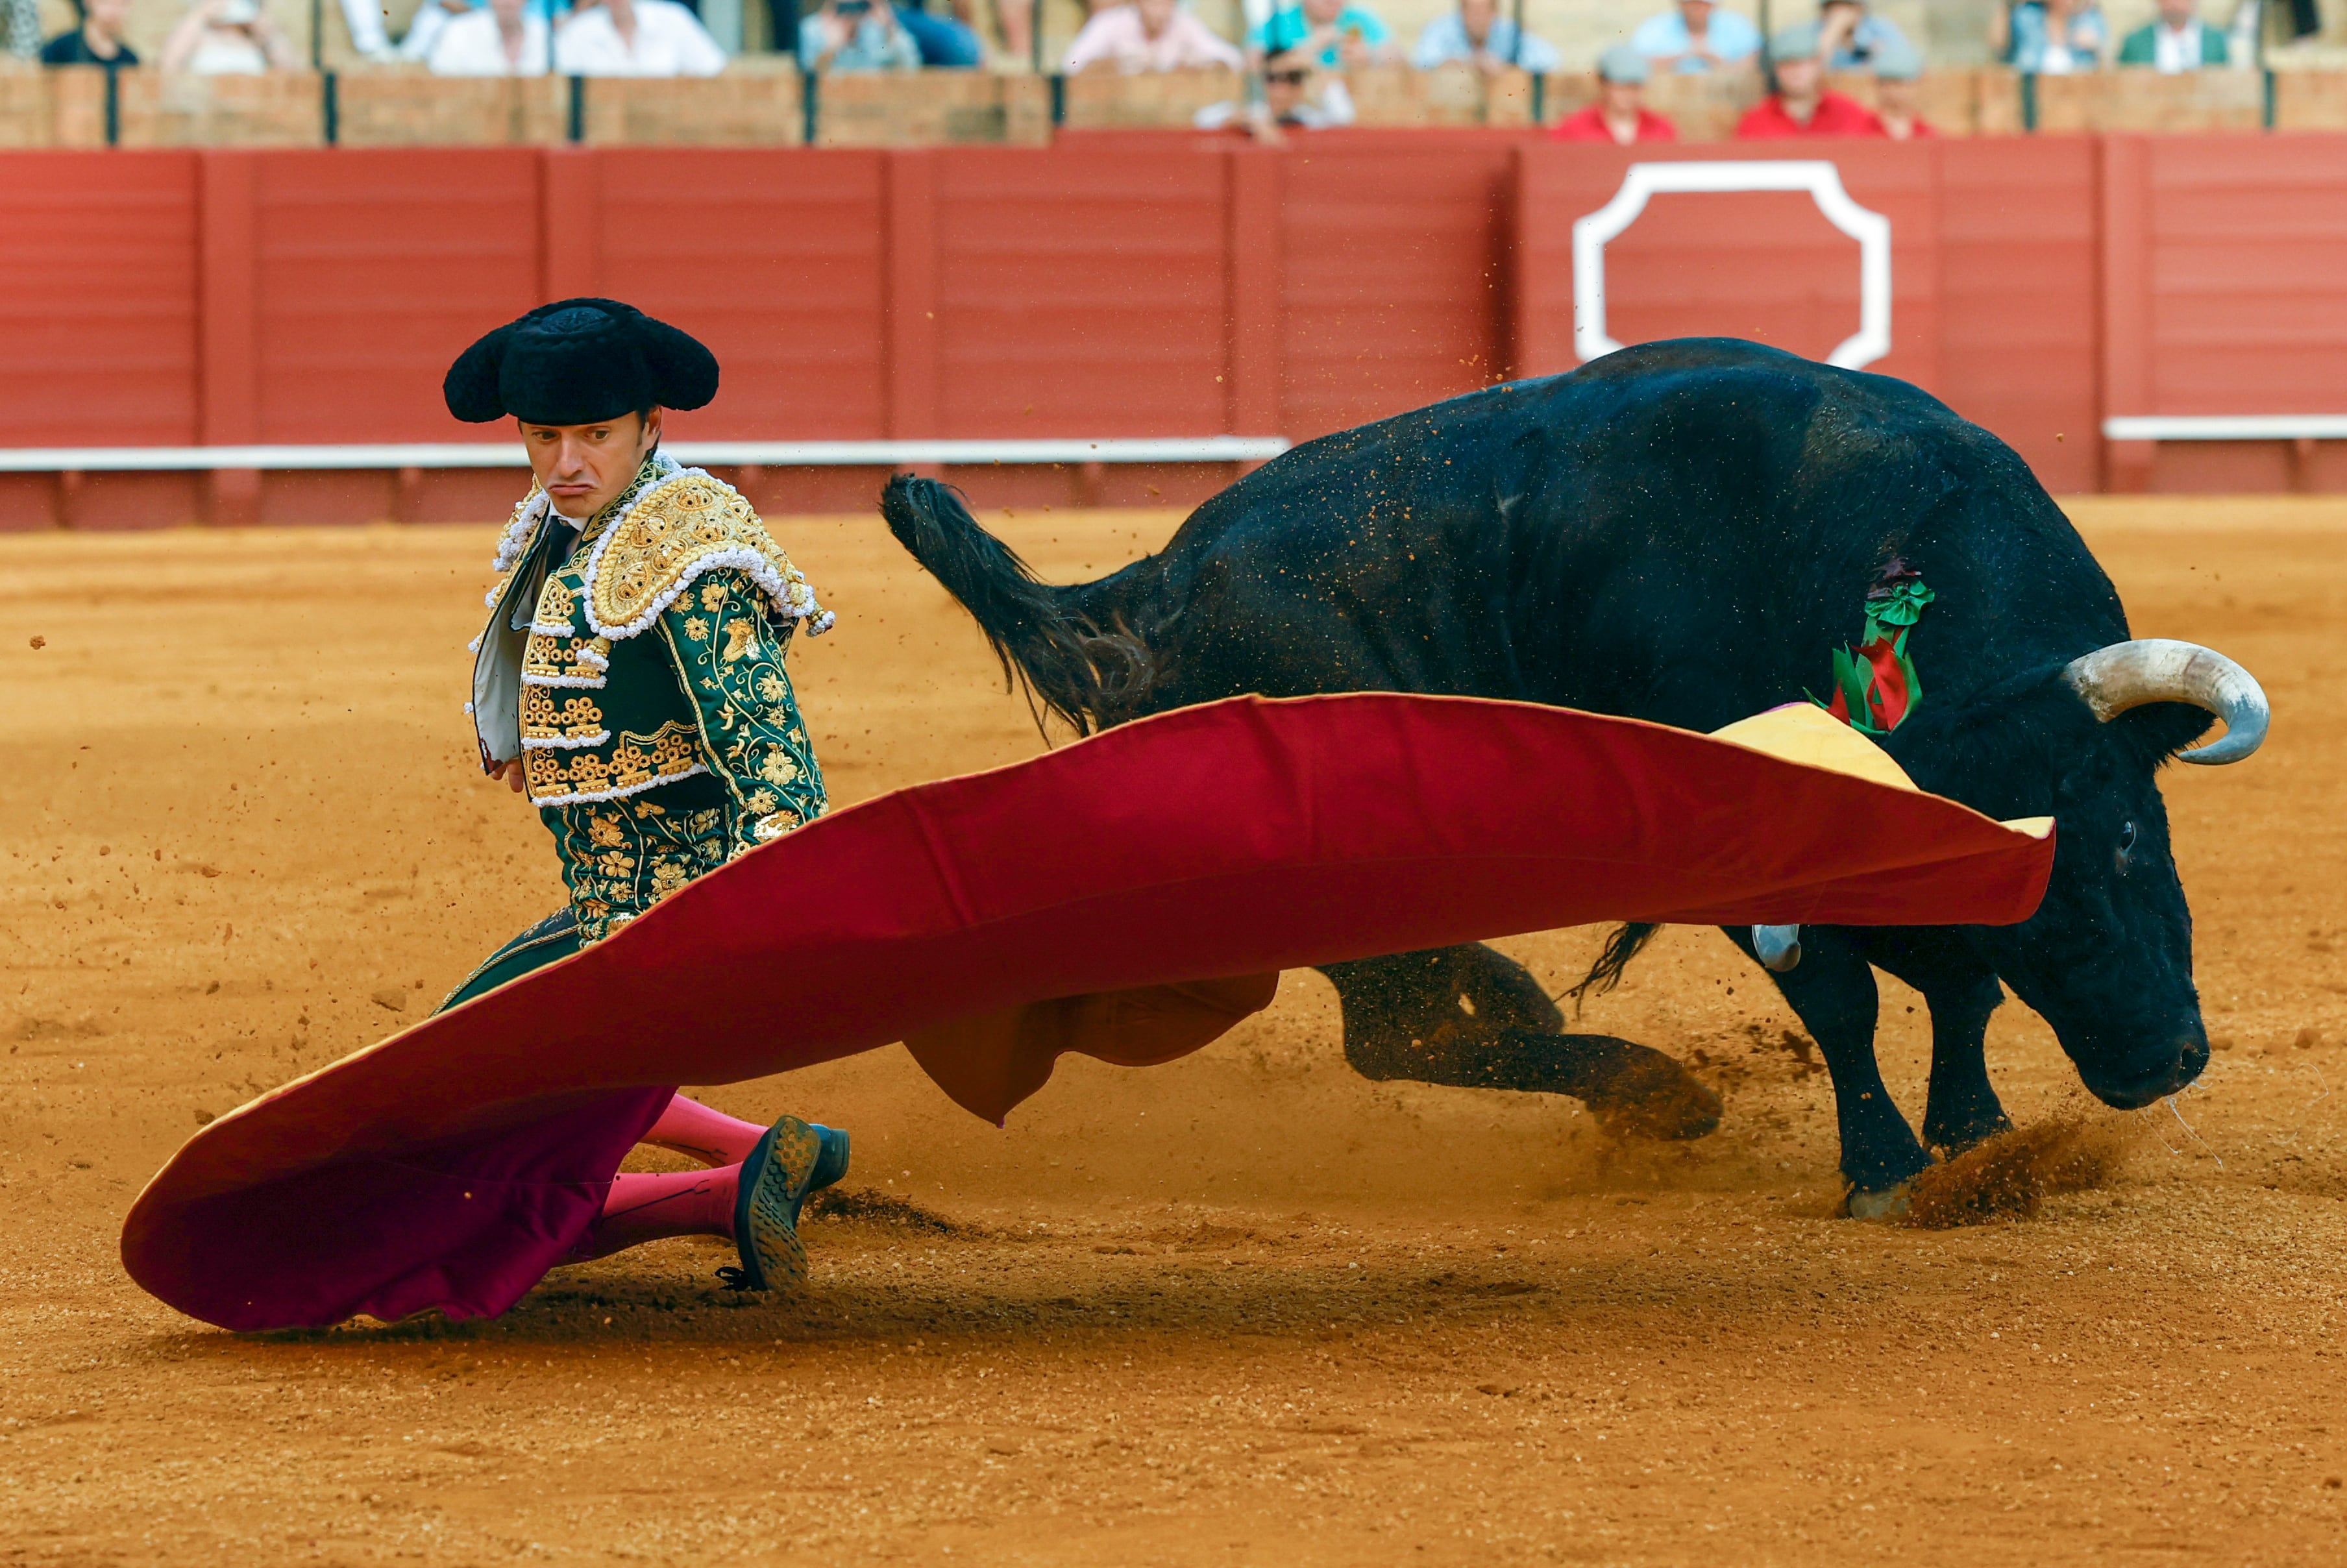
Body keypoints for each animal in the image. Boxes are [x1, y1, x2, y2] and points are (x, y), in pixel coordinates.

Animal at [873, 340, 2262, 1201]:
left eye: (2130, 832)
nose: (2159, 1062)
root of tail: (1158, 588)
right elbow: (1843, 993)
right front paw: (1881, 1168)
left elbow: (1959, 983)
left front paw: (1977, 1140)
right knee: (1394, 1035)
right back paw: (1655, 1092)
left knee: (1424, 1013)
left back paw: (1534, 1006)